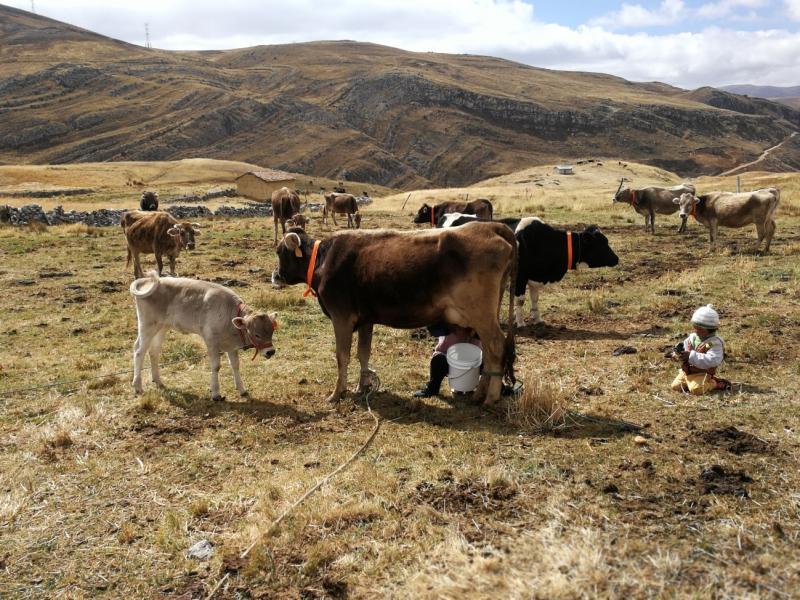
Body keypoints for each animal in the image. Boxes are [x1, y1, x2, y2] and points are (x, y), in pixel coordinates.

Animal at [272, 223, 516, 406]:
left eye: (279, 251)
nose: (276, 275)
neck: (324, 262)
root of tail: (491, 226)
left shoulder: (341, 317)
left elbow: (342, 356)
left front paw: (336, 394)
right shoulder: (365, 319)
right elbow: (363, 353)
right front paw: (362, 386)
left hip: (481, 314)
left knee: (496, 346)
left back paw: (490, 397)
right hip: (487, 314)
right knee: (488, 351)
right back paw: (480, 393)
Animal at [444, 213, 620, 326]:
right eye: (602, 243)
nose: (616, 259)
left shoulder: (535, 278)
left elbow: (535, 299)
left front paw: (537, 319)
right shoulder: (520, 276)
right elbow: (520, 300)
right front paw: (520, 322)